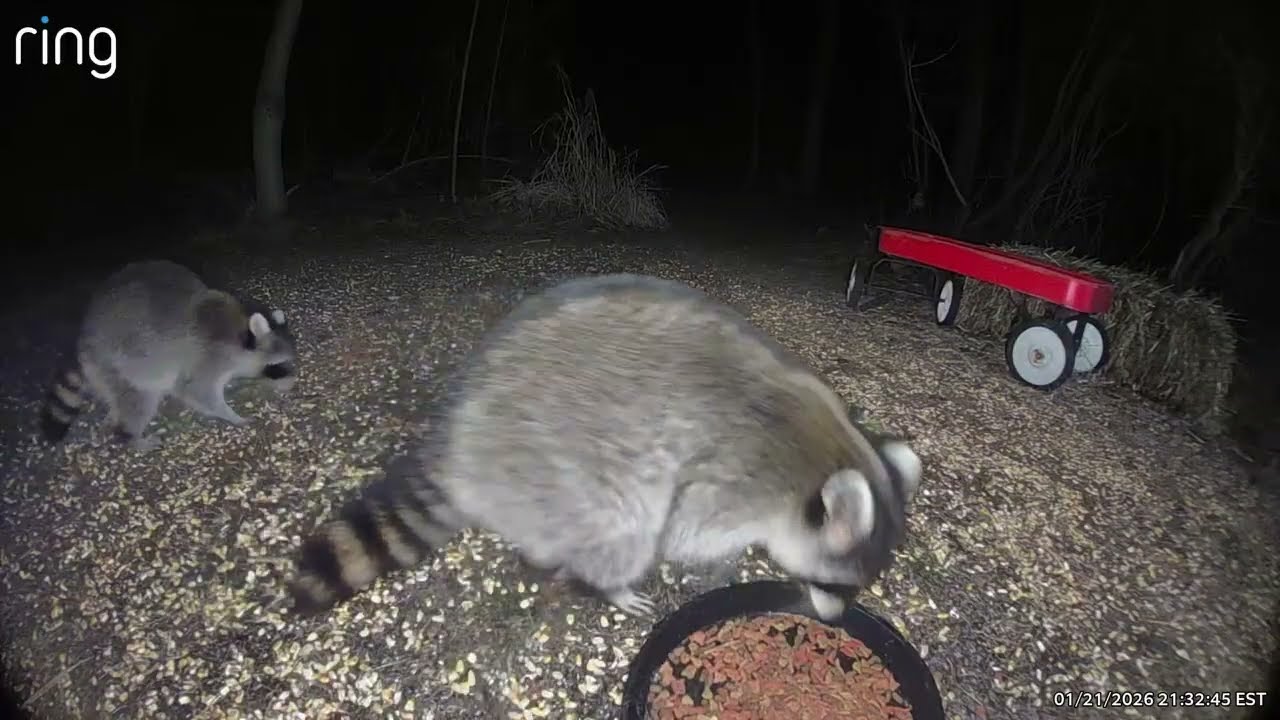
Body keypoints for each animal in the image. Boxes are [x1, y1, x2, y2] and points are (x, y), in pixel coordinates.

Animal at [39, 259, 298, 451]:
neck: (240, 332)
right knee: (140, 399)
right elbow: (194, 390)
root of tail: (84, 339)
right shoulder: (208, 358)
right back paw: (131, 436)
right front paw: (233, 416)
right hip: (118, 364)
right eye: (279, 365)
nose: (294, 380)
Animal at [288, 273, 922, 620]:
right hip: (554, 464)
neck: (825, 453)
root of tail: (458, 441)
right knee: (623, 523)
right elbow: (686, 532)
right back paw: (605, 582)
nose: (835, 620)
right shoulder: (732, 476)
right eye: (835, 586)